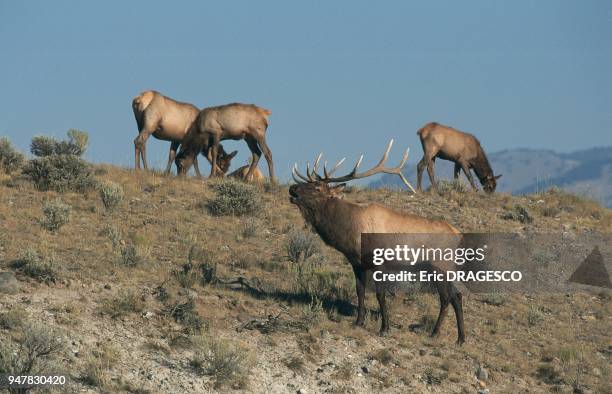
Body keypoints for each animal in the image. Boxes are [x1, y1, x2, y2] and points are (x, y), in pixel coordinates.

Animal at [290, 140, 466, 344]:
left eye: (317, 188)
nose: (292, 188)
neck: (351, 232)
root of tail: (458, 234)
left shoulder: (379, 262)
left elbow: (380, 294)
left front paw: (384, 328)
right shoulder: (357, 263)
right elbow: (360, 291)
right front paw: (358, 322)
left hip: (441, 266)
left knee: (449, 297)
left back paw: (441, 334)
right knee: (454, 296)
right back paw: (456, 337)